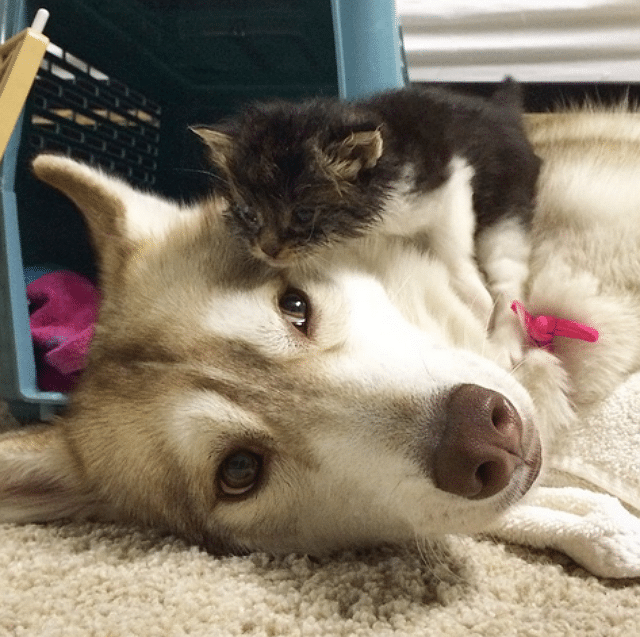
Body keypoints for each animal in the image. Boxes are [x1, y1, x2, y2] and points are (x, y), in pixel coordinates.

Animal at [194, 78, 540, 362]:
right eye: (249, 213)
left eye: (303, 214)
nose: (268, 250)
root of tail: (502, 111)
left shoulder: (450, 180)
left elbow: (452, 248)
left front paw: (475, 302)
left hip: (507, 203)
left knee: (509, 277)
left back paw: (504, 341)